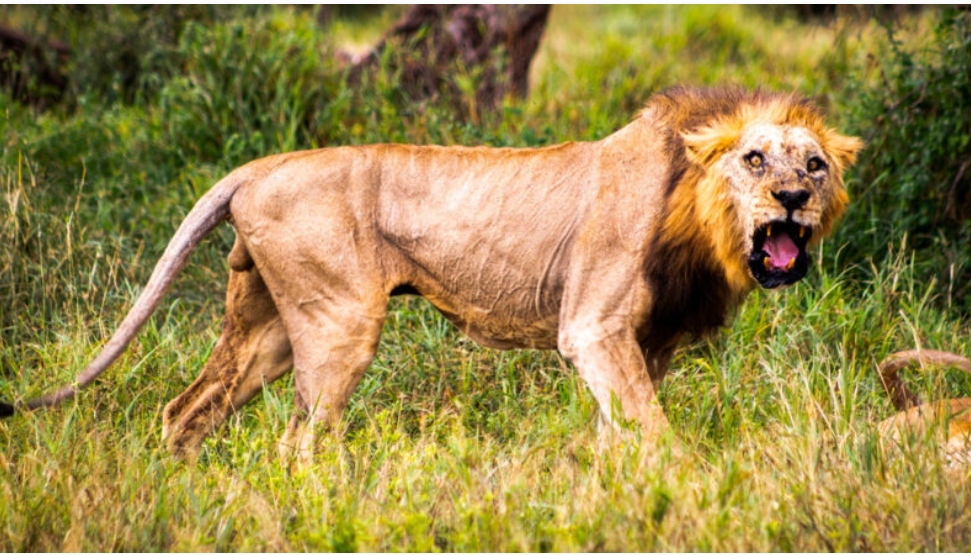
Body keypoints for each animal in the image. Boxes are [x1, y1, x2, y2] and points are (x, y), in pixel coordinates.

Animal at [0, 87, 862, 459]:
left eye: (813, 166)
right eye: (753, 159)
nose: (791, 199)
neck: (698, 220)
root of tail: (258, 165)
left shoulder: (641, 345)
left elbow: (622, 428)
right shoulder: (590, 327)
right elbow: (654, 429)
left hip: (269, 325)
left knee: (186, 409)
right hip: (339, 323)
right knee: (296, 439)